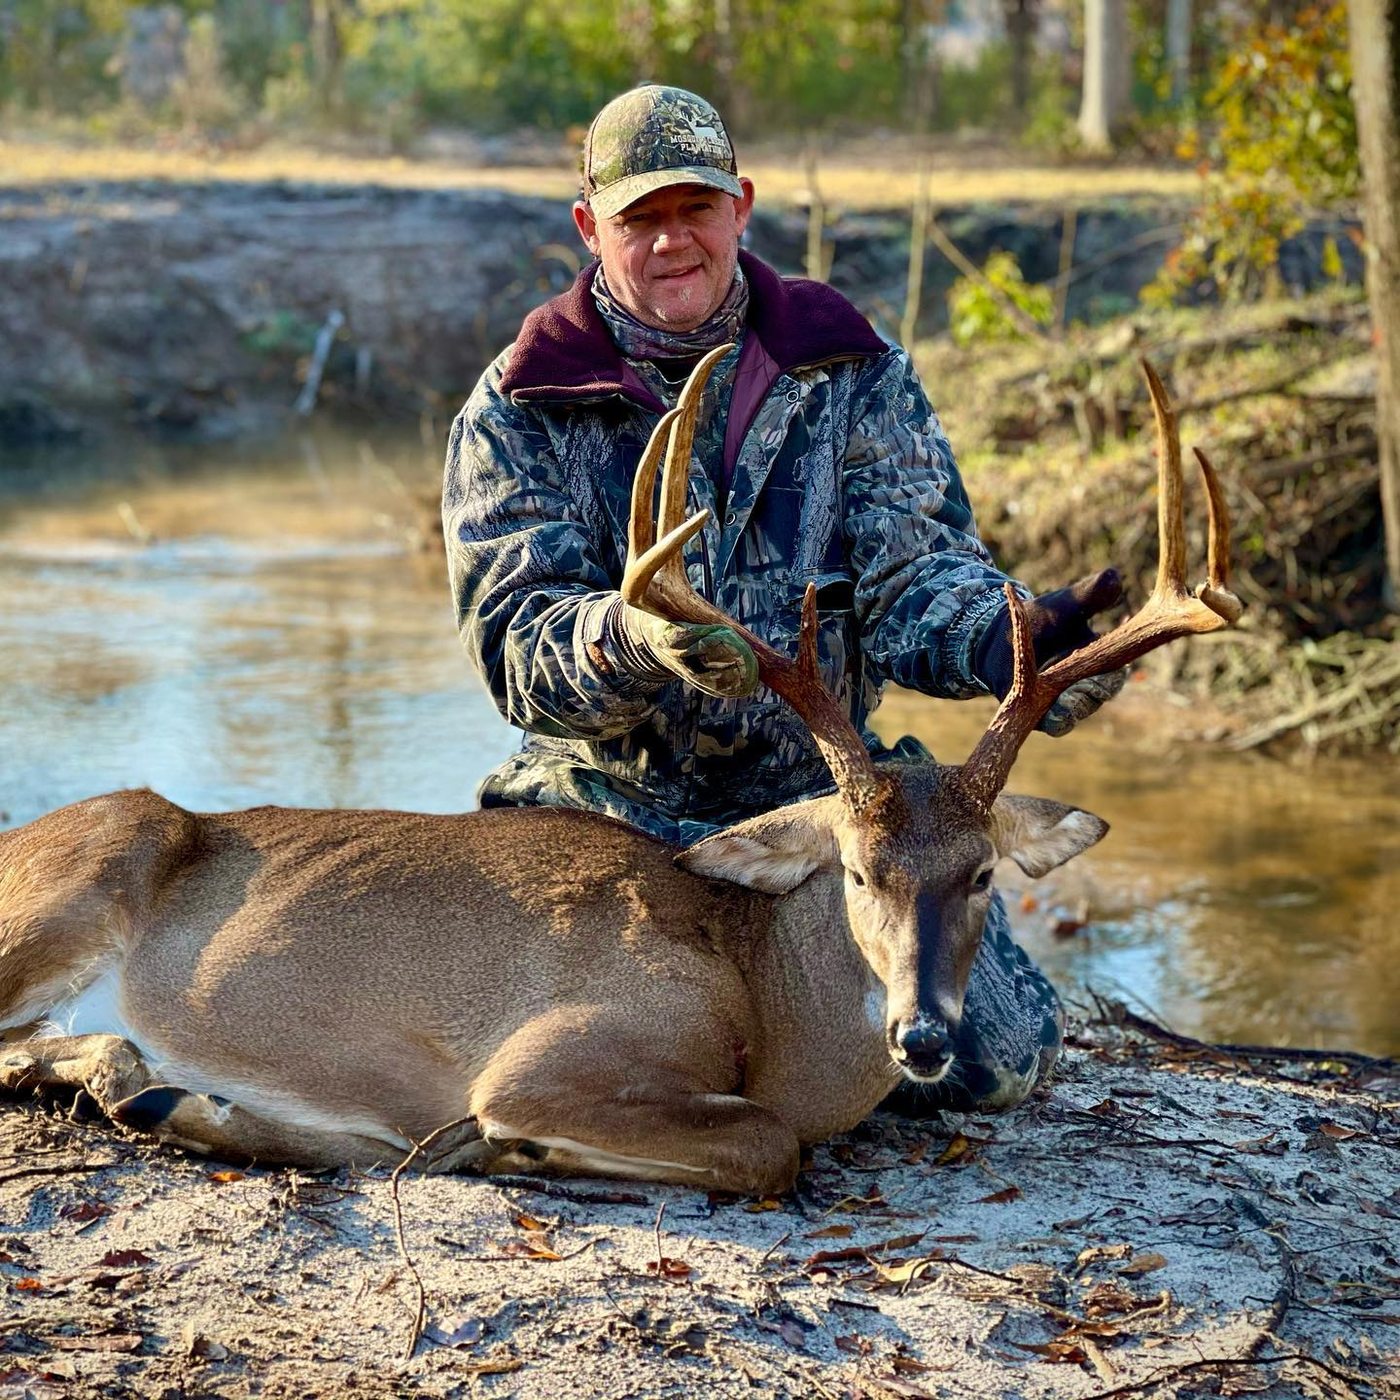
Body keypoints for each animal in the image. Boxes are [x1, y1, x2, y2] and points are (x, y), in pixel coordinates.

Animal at [0, 349, 1241, 1195]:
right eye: (853, 867)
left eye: (982, 873)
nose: (923, 1036)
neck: (763, 1000)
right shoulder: (552, 1048)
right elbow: (766, 1144)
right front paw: (506, 1145)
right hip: (83, 872)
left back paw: (178, 1096)